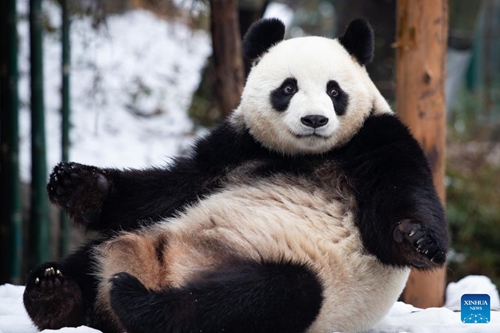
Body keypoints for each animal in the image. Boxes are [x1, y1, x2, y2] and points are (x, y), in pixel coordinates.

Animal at [23, 18, 448, 332]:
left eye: (334, 90)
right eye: (288, 88)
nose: (315, 120)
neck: (307, 156)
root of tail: (161, 270)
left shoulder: (379, 139)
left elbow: (395, 218)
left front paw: (419, 240)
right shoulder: (237, 148)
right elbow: (168, 188)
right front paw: (76, 186)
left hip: (313, 282)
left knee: (250, 299)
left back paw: (137, 302)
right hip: (147, 233)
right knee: (92, 256)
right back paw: (54, 294)